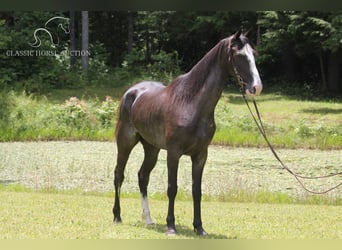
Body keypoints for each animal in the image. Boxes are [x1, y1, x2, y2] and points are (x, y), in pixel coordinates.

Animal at [112, 30, 262, 235]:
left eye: (254, 54)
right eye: (239, 55)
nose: (256, 87)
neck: (190, 102)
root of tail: (132, 91)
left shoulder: (200, 155)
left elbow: (196, 191)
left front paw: (199, 228)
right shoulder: (173, 153)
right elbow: (172, 188)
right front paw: (171, 226)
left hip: (151, 148)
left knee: (143, 177)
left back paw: (149, 219)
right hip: (125, 142)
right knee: (119, 175)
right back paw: (117, 216)